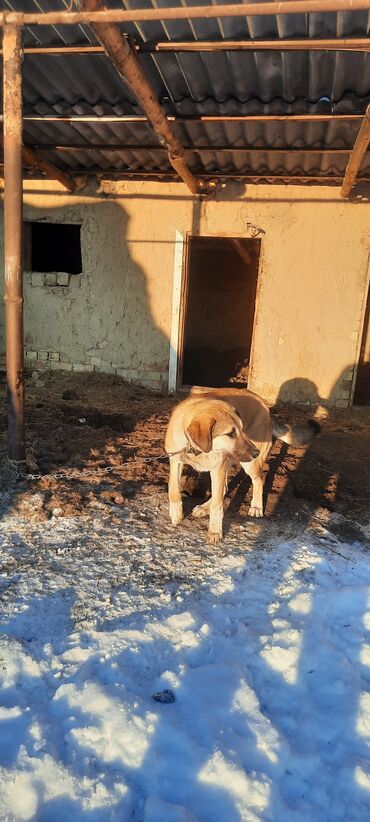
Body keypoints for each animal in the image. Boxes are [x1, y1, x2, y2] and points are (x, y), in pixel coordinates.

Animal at [163, 390, 320, 544]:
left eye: (241, 430)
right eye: (231, 433)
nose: (256, 453)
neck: (196, 449)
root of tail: (263, 402)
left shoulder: (218, 467)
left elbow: (217, 505)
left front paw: (215, 531)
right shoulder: (175, 461)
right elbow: (173, 487)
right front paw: (176, 512)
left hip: (247, 464)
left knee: (258, 480)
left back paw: (256, 506)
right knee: (224, 489)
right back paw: (204, 507)